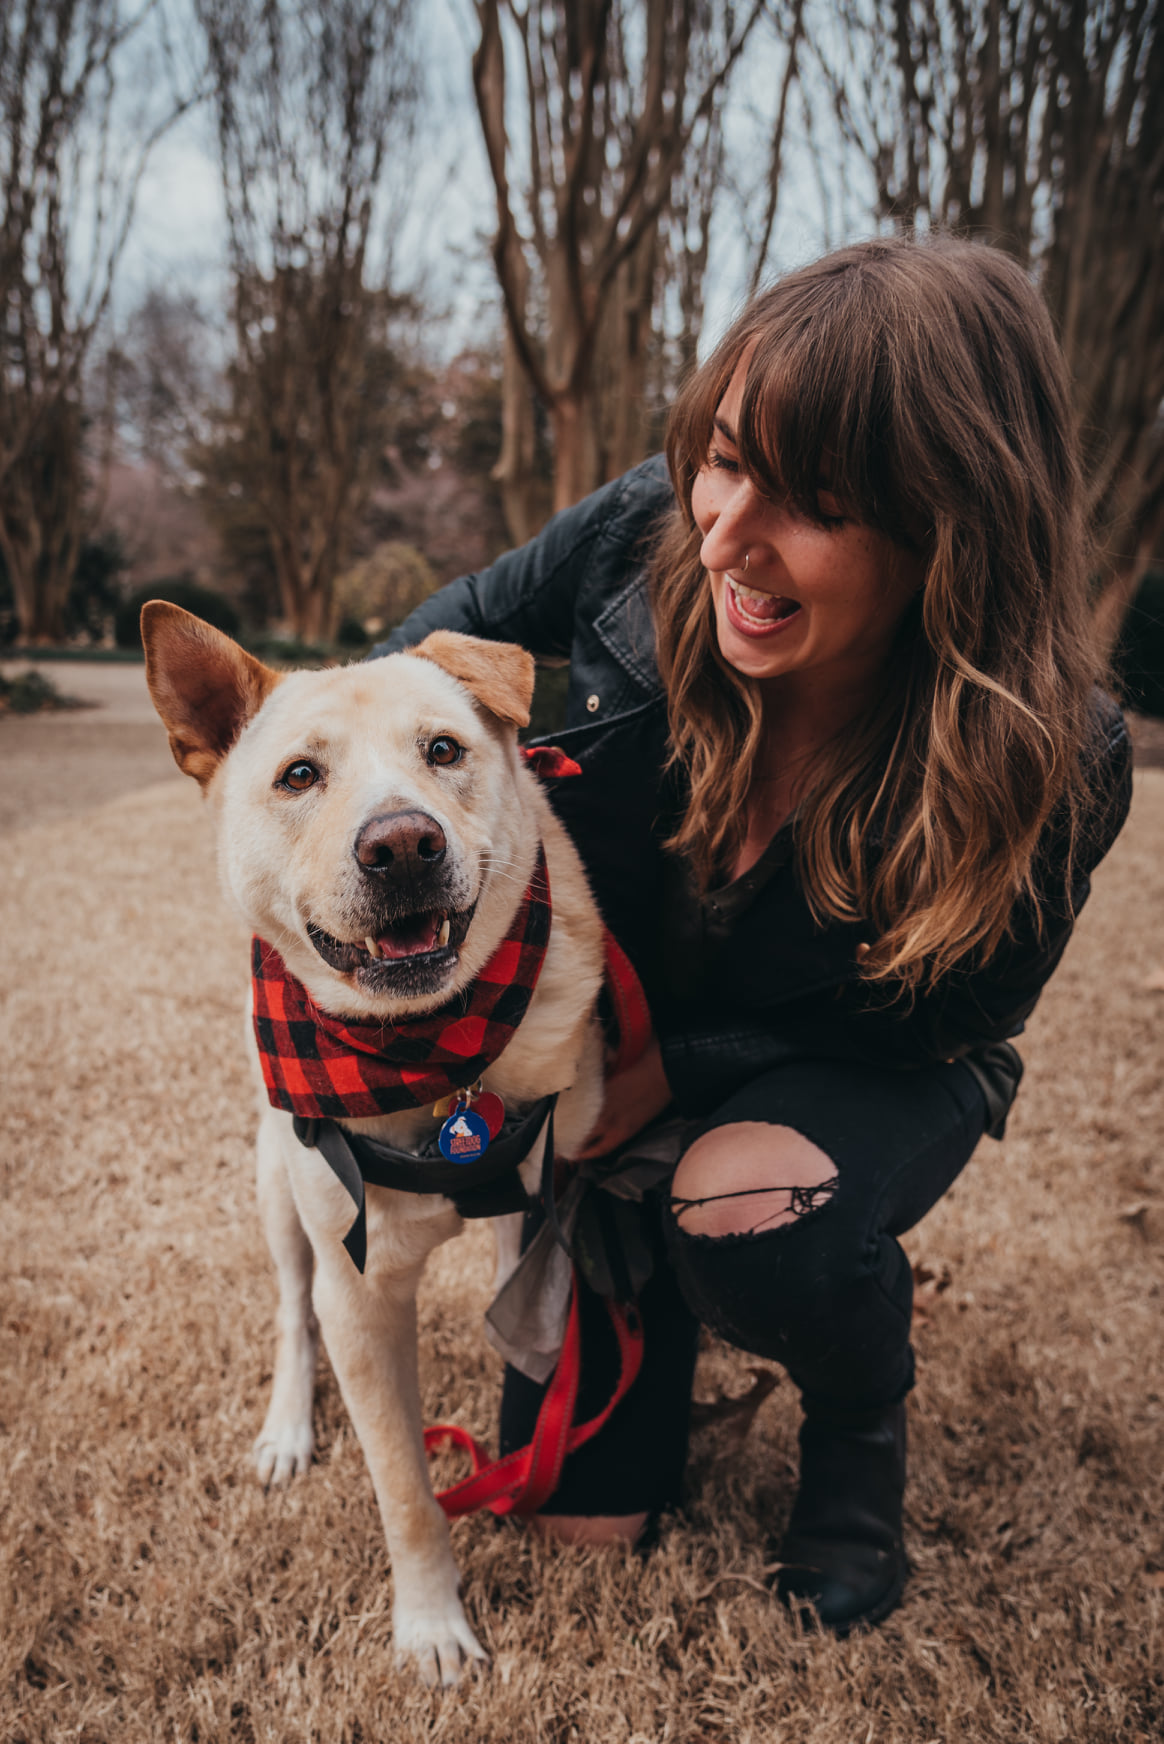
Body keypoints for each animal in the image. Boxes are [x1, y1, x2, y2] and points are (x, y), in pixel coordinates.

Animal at [141, 606, 607, 1681]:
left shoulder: (549, 1191)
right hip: (276, 1191)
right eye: (300, 776)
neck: (428, 1062)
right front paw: (432, 1625)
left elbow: (527, 1305)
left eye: (444, 751)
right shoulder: (356, 1295)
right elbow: (405, 1490)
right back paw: (286, 1429)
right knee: (290, 1310)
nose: (403, 845)